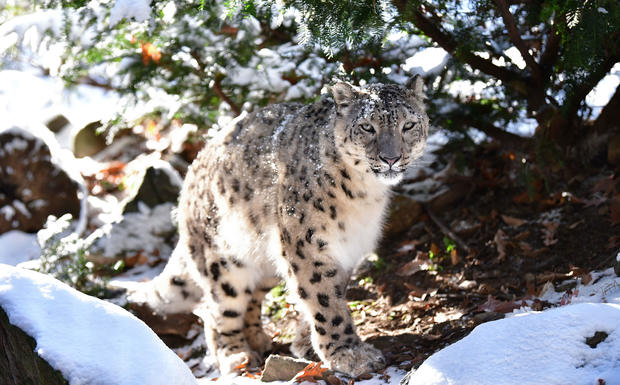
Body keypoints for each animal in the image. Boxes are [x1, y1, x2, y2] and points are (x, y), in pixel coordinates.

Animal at [134, 76, 426, 376]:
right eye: (367, 126)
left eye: (408, 125)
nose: (390, 158)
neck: (363, 195)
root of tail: (190, 174)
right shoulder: (307, 245)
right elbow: (324, 300)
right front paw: (349, 354)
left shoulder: (347, 248)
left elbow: (327, 294)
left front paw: (306, 344)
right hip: (224, 261)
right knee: (216, 309)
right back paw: (235, 354)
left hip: (265, 259)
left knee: (251, 297)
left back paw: (257, 337)